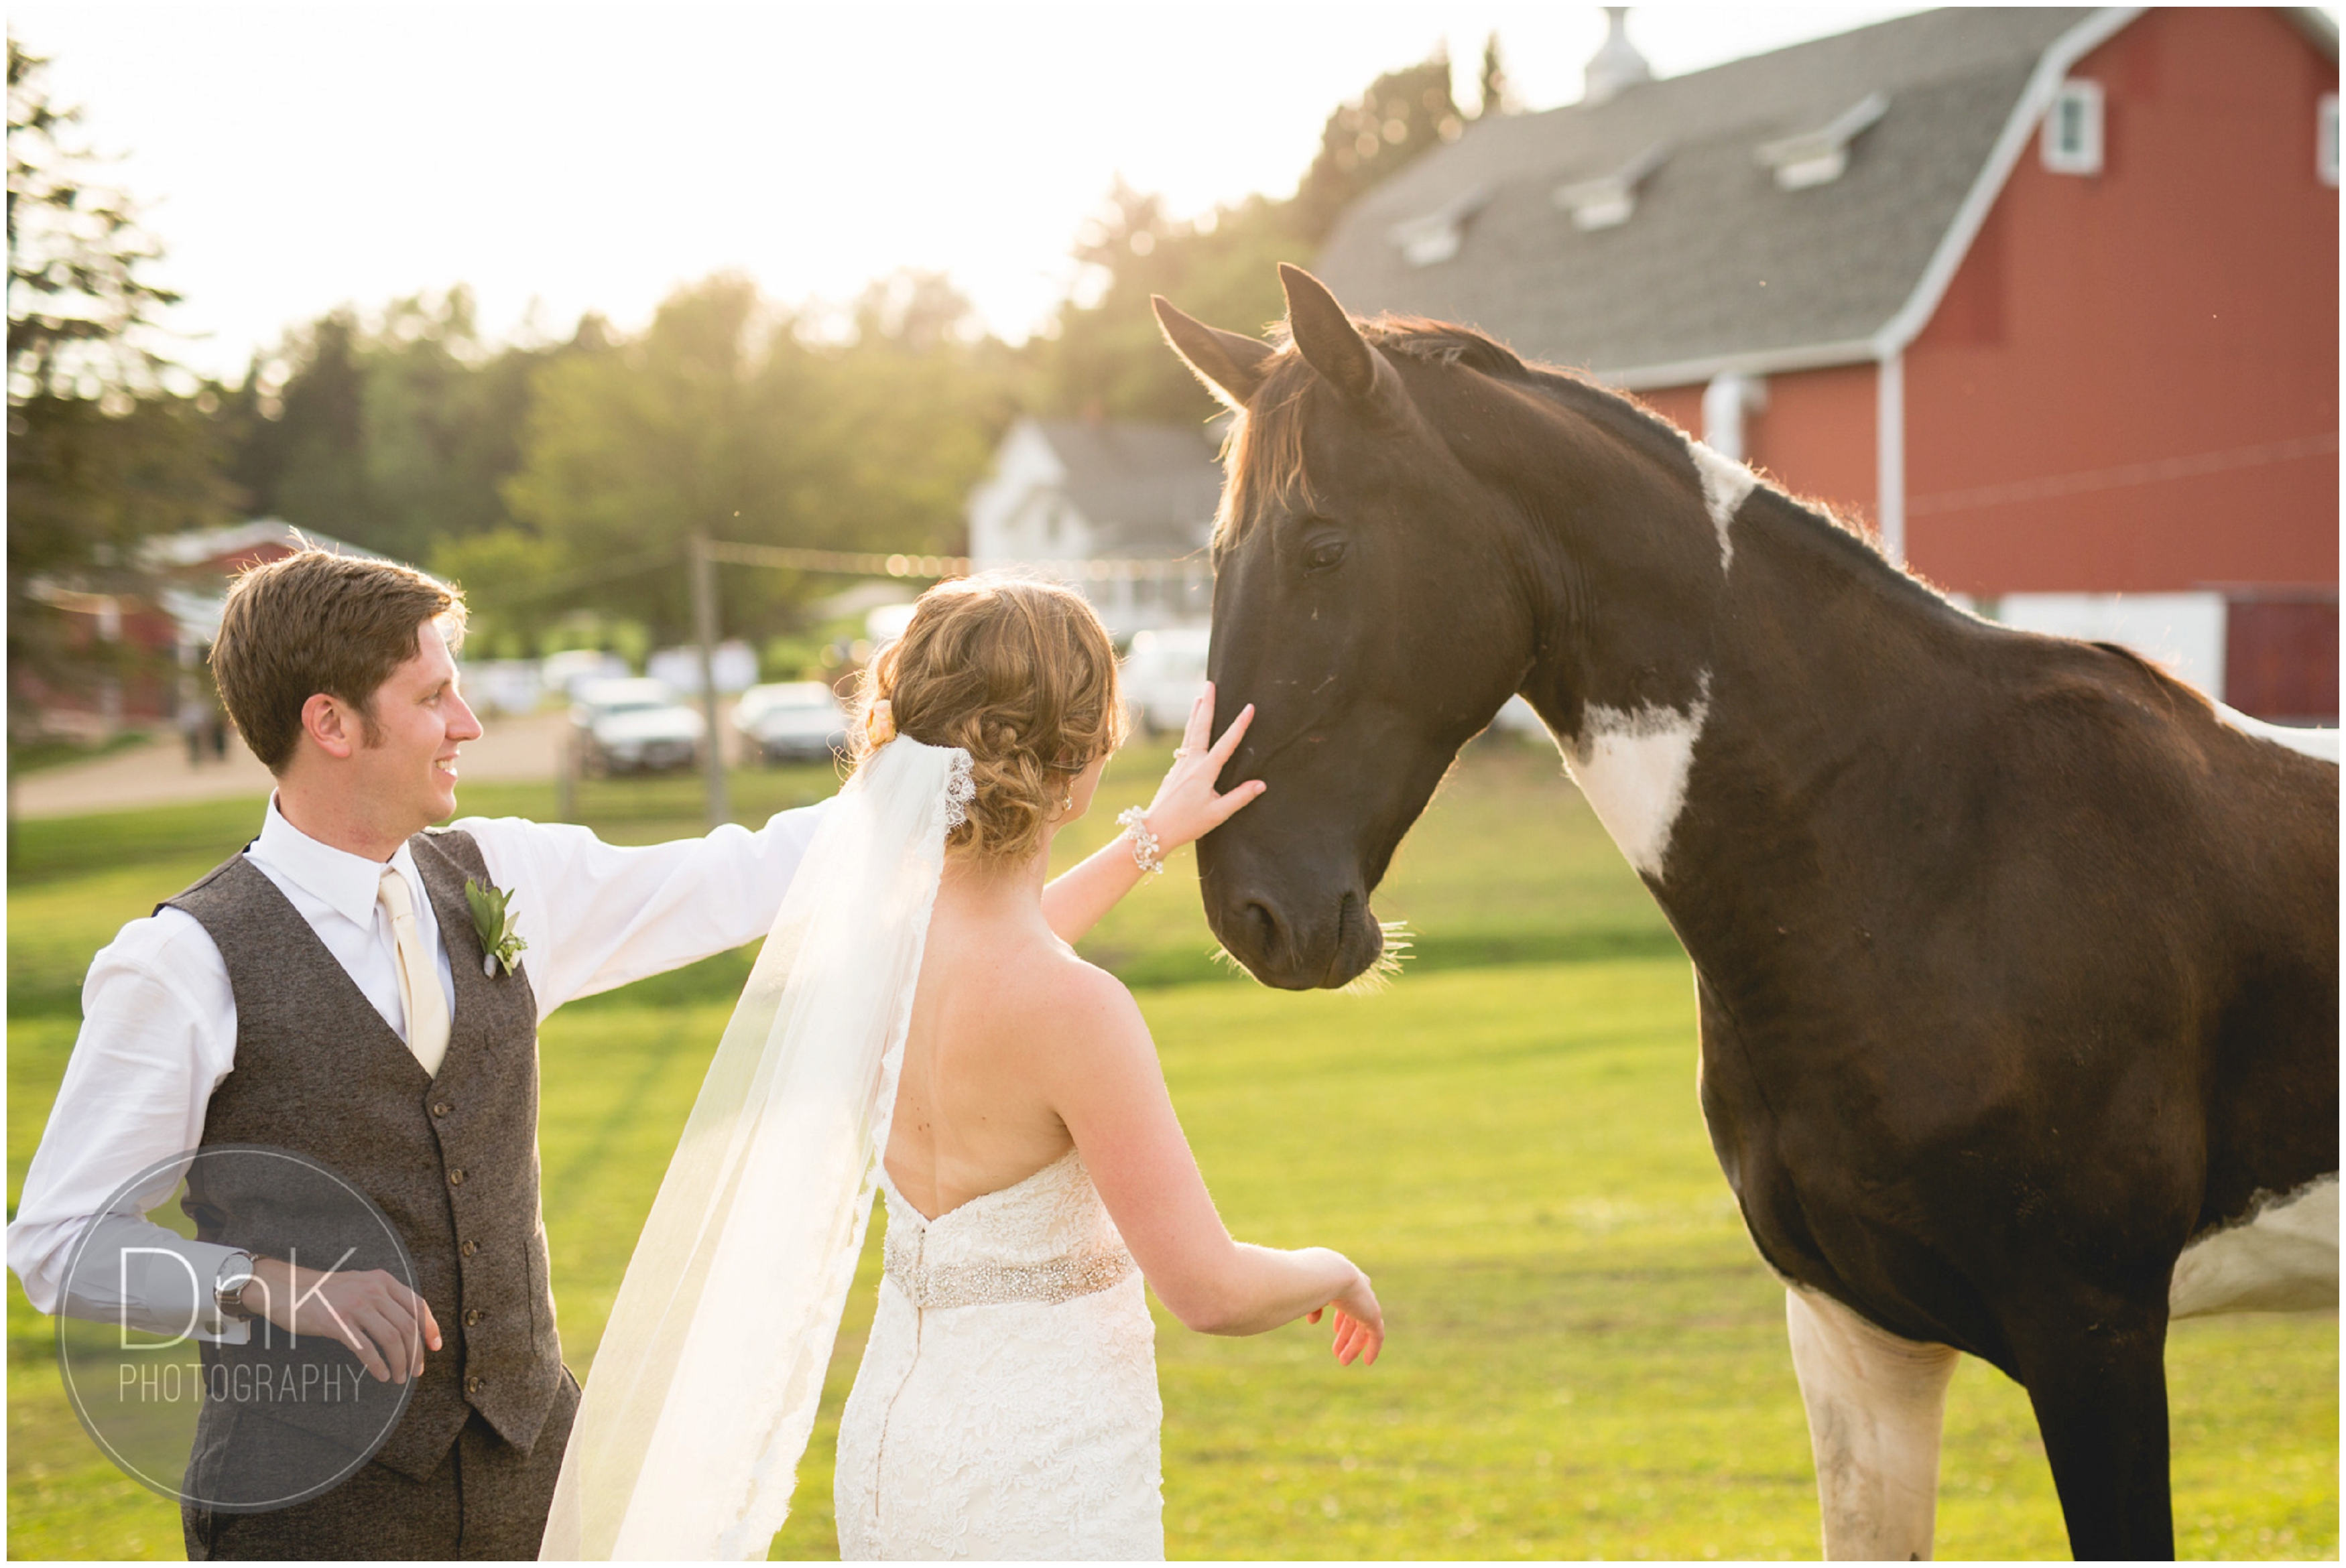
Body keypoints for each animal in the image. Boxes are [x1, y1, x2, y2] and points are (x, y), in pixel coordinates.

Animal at [1153, 264, 2338, 1560]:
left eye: (1323, 547)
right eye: (1215, 558)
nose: (1255, 910)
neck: (1930, 840)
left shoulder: (2095, 1332)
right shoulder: (1857, 1338)